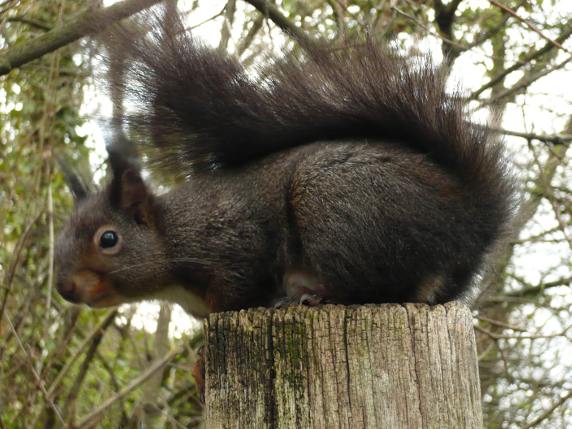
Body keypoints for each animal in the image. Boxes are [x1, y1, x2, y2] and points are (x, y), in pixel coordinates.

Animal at [54, 11, 515, 318]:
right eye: (59, 237)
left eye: (108, 239)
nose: (65, 289)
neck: (171, 235)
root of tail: (471, 222)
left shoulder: (232, 243)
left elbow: (241, 284)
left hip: (338, 206)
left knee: (372, 287)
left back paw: (311, 295)